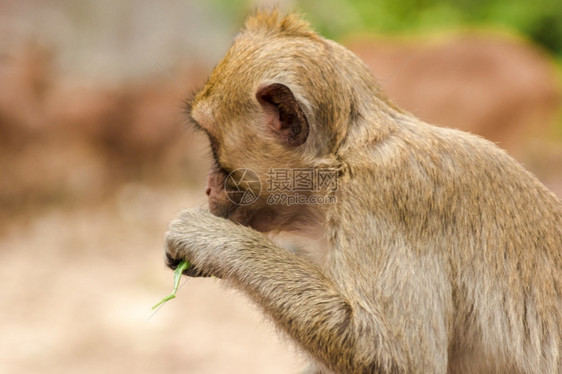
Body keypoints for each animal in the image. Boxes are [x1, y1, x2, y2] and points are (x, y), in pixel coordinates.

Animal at [164, 10, 560, 372]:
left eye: (212, 143)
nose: (208, 187)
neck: (338, 166)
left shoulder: (378, 200)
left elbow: (394, 356)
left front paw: (210, 239)